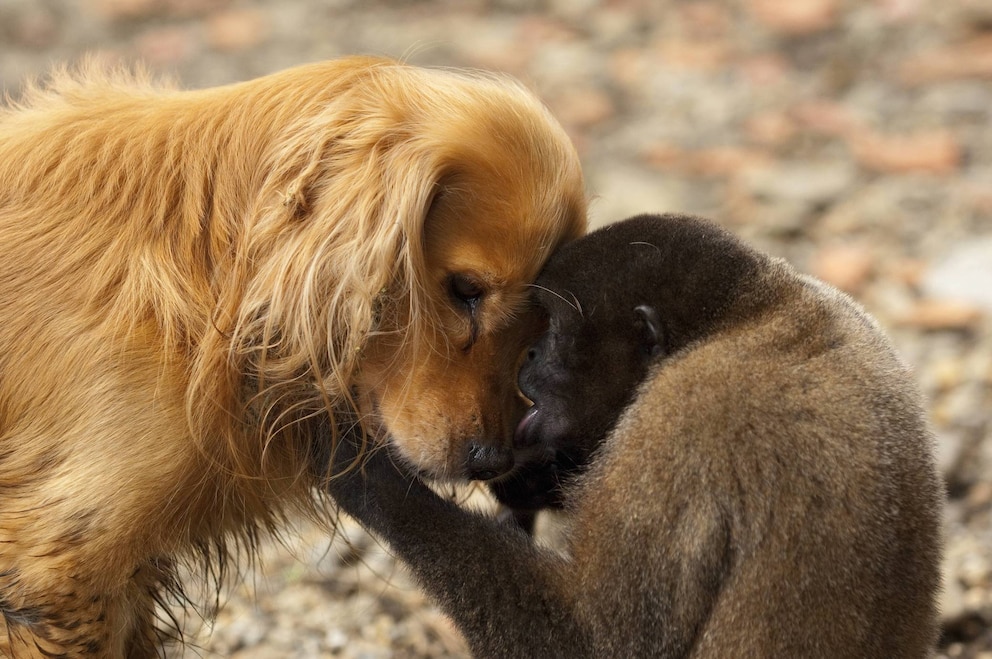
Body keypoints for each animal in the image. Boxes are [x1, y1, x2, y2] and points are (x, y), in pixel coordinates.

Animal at [328, 215, 944, 659]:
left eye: (554, 332)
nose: (529, 356)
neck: (744, 315)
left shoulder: (679, 425)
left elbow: (595, 640)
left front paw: (351, 466)